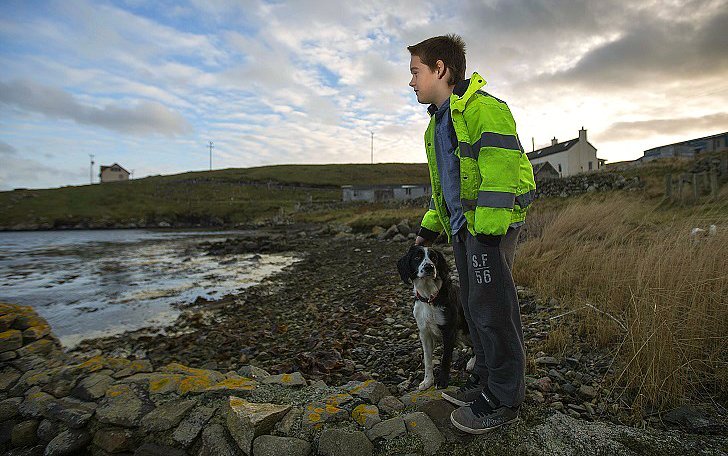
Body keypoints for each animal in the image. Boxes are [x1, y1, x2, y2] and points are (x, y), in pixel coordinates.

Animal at [398, 244, 472, 390]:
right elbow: (427, 360)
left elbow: (445, 359)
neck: (429, 298)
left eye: (434, 257)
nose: (429, 267)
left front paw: (442, 381)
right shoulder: (424, 333)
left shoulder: (449, 332)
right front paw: (427, 381)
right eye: (417, 257)